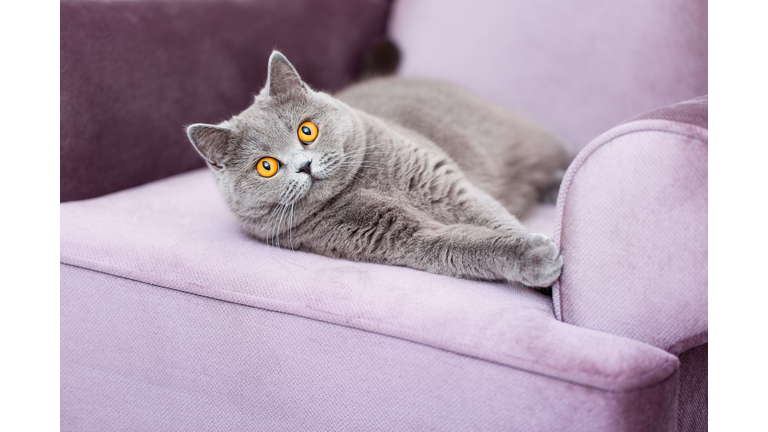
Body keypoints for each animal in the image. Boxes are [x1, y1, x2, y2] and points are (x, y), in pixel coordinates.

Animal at [184, 49, 568, 286]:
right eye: (266, 166)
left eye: (306, 130)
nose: (304, 165)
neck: (359, 185)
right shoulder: (391, 234)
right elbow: (456, 242)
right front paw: (534, 257)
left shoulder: (440, 183)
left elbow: (489, 215)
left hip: (528, 137)